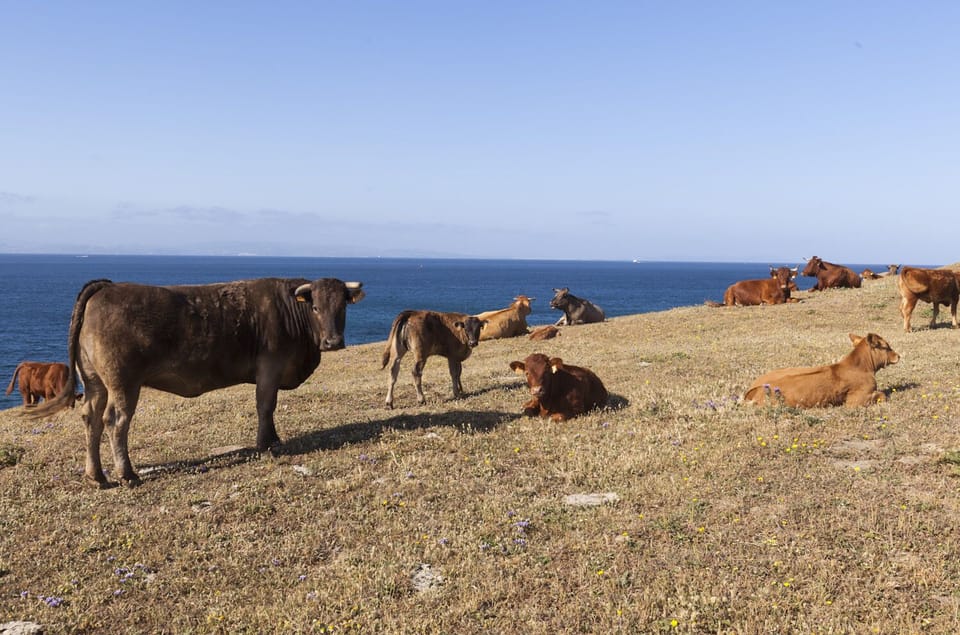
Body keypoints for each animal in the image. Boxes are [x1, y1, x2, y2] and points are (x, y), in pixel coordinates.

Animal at [26, 277, 365, 487]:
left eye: (342, 307)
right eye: (316, 307)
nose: (333, 342)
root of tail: (106, 287)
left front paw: (274, 440)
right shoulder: (270, 368)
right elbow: (265, 406)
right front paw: (266, 443)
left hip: (95, 383)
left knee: (91, 420)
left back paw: (96, 476)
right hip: (123, 384)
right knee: (115, 422)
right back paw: (127, 474)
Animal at [744, 333, 899, 407]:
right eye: (886, 346)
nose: (898, 356)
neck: (862, 367)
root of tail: (754, 389)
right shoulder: (856, 400)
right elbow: (882, 395)